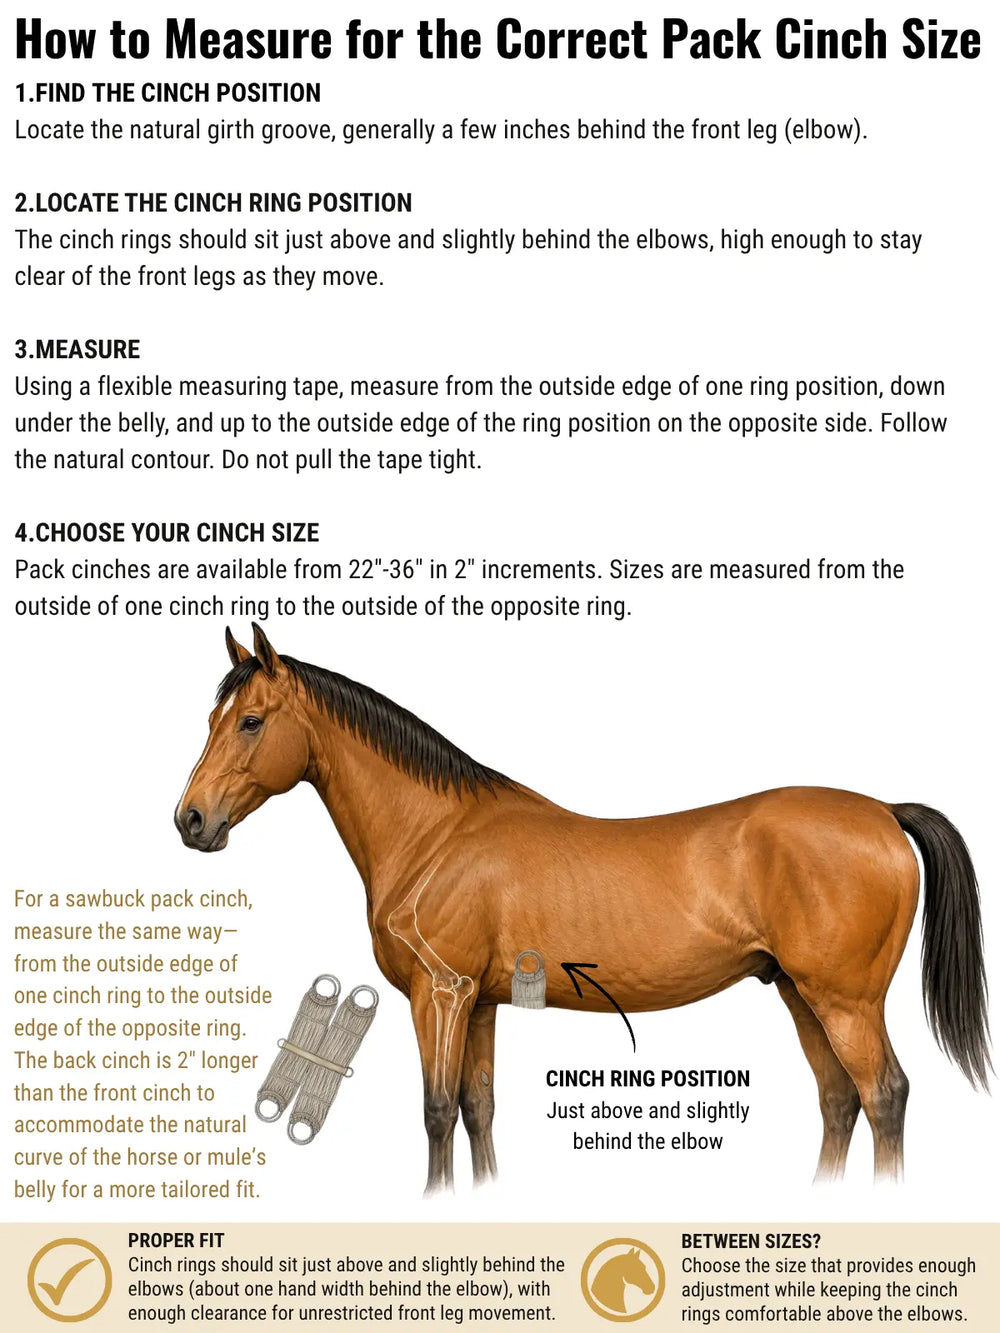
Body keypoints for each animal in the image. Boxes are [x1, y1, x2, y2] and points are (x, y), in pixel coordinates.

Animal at [175, 624, 990, 1194]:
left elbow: (437, 1112)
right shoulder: (479, 1004)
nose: (191, 821)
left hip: (846, 1000)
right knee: (838, 1100)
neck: (438, 834)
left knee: (883, 1096)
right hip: (799, 992)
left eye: (251, 720)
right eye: (212, 718)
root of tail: (883, 811)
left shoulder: (439, 995)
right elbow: (477, 1109)